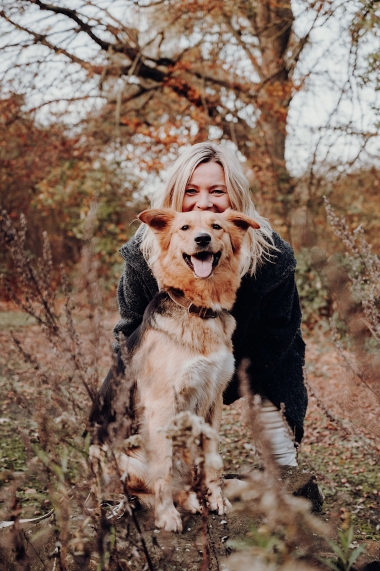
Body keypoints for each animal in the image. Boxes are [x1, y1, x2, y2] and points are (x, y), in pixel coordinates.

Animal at [90, 208, 260, 536]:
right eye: (185, 227)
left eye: (216, 226)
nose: (202, 239)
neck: (199, 309)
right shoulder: (162, 406)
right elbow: (163, 470)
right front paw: (167, 516)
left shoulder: (213, 401)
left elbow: (213, 461)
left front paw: (217, 498)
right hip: (115, 456)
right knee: (142, 487)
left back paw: (193, 498)